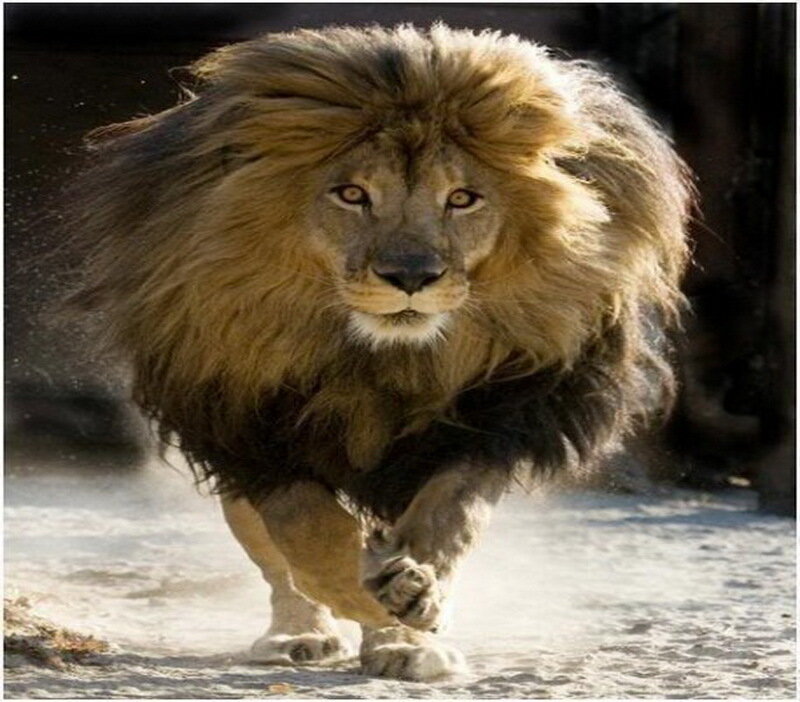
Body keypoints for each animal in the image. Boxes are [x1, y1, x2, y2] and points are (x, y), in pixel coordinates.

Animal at [65, 24, 692, 680]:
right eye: (351, 194)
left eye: (462, 199)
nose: (410, 277)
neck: (381, 355)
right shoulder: (245, 421)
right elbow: (306, 531)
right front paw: (369, 596)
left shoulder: (500, 412)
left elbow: (450, 517)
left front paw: (411, 612)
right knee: (274, 562)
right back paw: (300, 634)